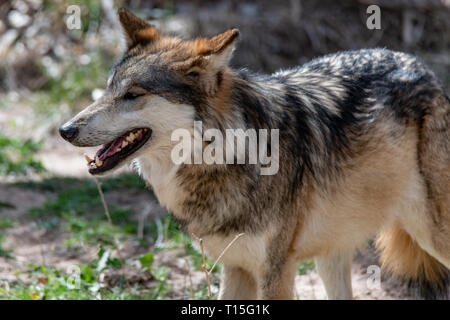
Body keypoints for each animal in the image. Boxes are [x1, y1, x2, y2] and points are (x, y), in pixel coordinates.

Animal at [60, 8, 450, 298]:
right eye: (108, 90)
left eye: (133, 95)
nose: (65, 130)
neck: (223, 155)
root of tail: (422, 66)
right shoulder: (235, 266)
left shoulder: (275, 271)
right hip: (332, 257)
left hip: (432, 235)